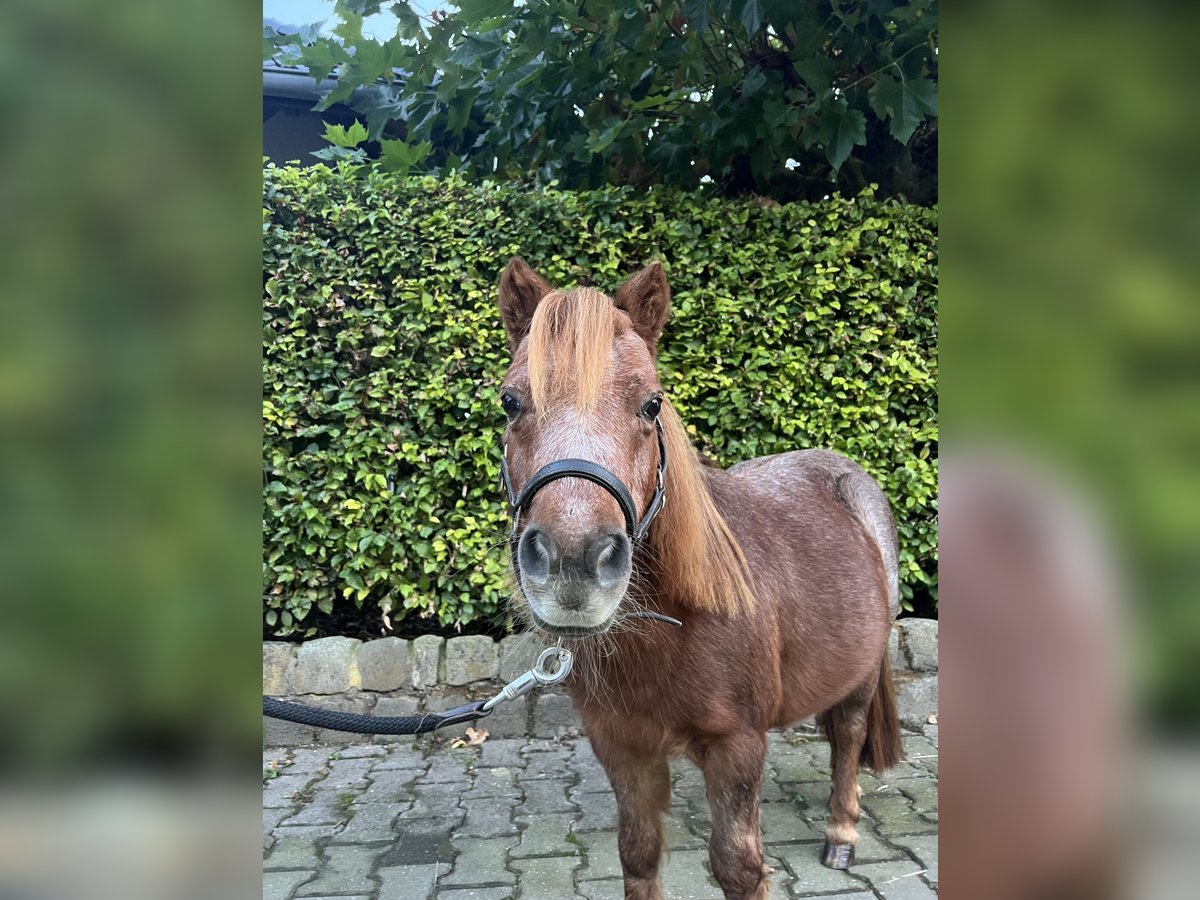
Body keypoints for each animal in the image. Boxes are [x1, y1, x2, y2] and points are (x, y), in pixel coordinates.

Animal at [494, 256, 902, 897]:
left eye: (652, 405)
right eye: (511, 402)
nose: (573, 560)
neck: (675, 625)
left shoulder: (737, 748)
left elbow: (737, 865)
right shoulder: (623, 748)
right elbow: (638, 854)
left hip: (861, 674)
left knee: (850, 736)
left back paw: (842, 832)